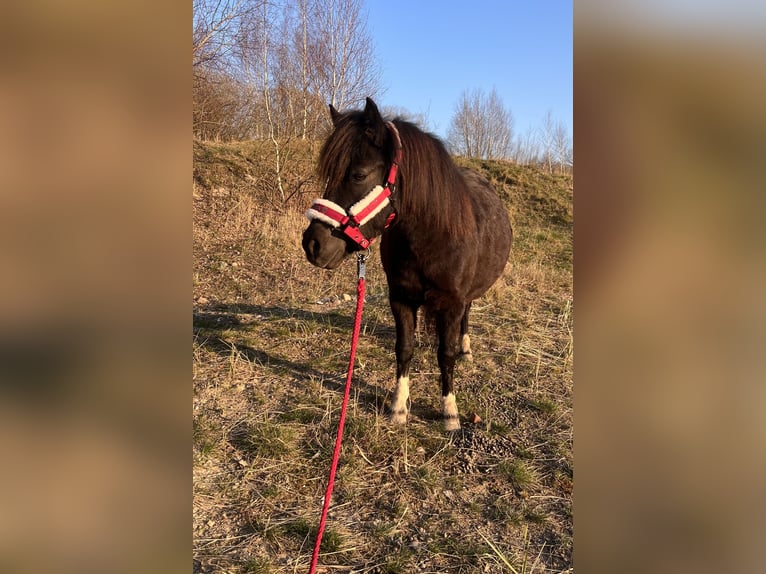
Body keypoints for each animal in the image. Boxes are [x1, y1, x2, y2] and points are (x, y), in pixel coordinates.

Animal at [304, 99, 512, 432]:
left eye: (358, 175)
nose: (313, 245)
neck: (431, 236)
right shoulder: (400, 298)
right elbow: (404, 349)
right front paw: (398, 407)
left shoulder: (453, 302)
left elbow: (445, 354)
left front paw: (449, 412)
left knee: (466, 318)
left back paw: (466, 348)